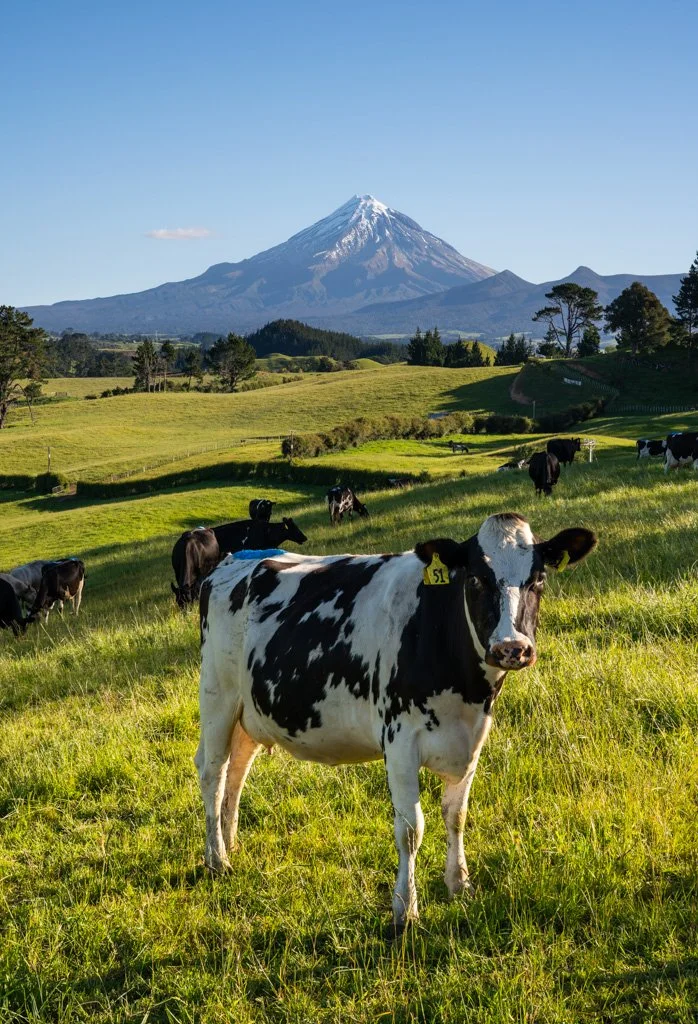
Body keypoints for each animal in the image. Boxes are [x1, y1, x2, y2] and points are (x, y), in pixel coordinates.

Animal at [195, 513, 597, 932]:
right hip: (217, 696)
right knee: (213, 773)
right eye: (474, 579)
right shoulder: (401, 741)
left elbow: (457, 815)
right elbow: (410, 830)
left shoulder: (472, 739)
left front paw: (460, 884)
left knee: (237, 772)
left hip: (249, 711)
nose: (511, 648)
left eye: (539, 579)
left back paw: (230, 842)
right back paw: (216, 859)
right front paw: (405, 909)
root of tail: (233, 560)